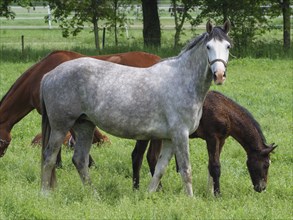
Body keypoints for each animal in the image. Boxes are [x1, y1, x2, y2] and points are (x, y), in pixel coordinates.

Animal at [39, 21, 230, 196]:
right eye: (208, 47)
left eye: (228, 46)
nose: (219, 75)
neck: (182, 80)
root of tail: (49, 75)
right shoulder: (180, 135)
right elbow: (186, 170)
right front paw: (190, 200)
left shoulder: (169, 138)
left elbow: (160, 169)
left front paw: (148, 195)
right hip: (60, 127)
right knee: (49, 158)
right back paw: (45, 194)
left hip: (85, 125)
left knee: (80, 160)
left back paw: (94, 196)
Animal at [132, 90, 276, 195]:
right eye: (265, 165)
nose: (262, 188)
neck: (225, 112)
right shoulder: (212, 137)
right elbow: (215, 166)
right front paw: (218, 194)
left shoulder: (221, 140)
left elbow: (211, 165)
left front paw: (210, 192)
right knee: (138, 156)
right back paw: (138, 188)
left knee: (151, 157)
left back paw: (157, 189)